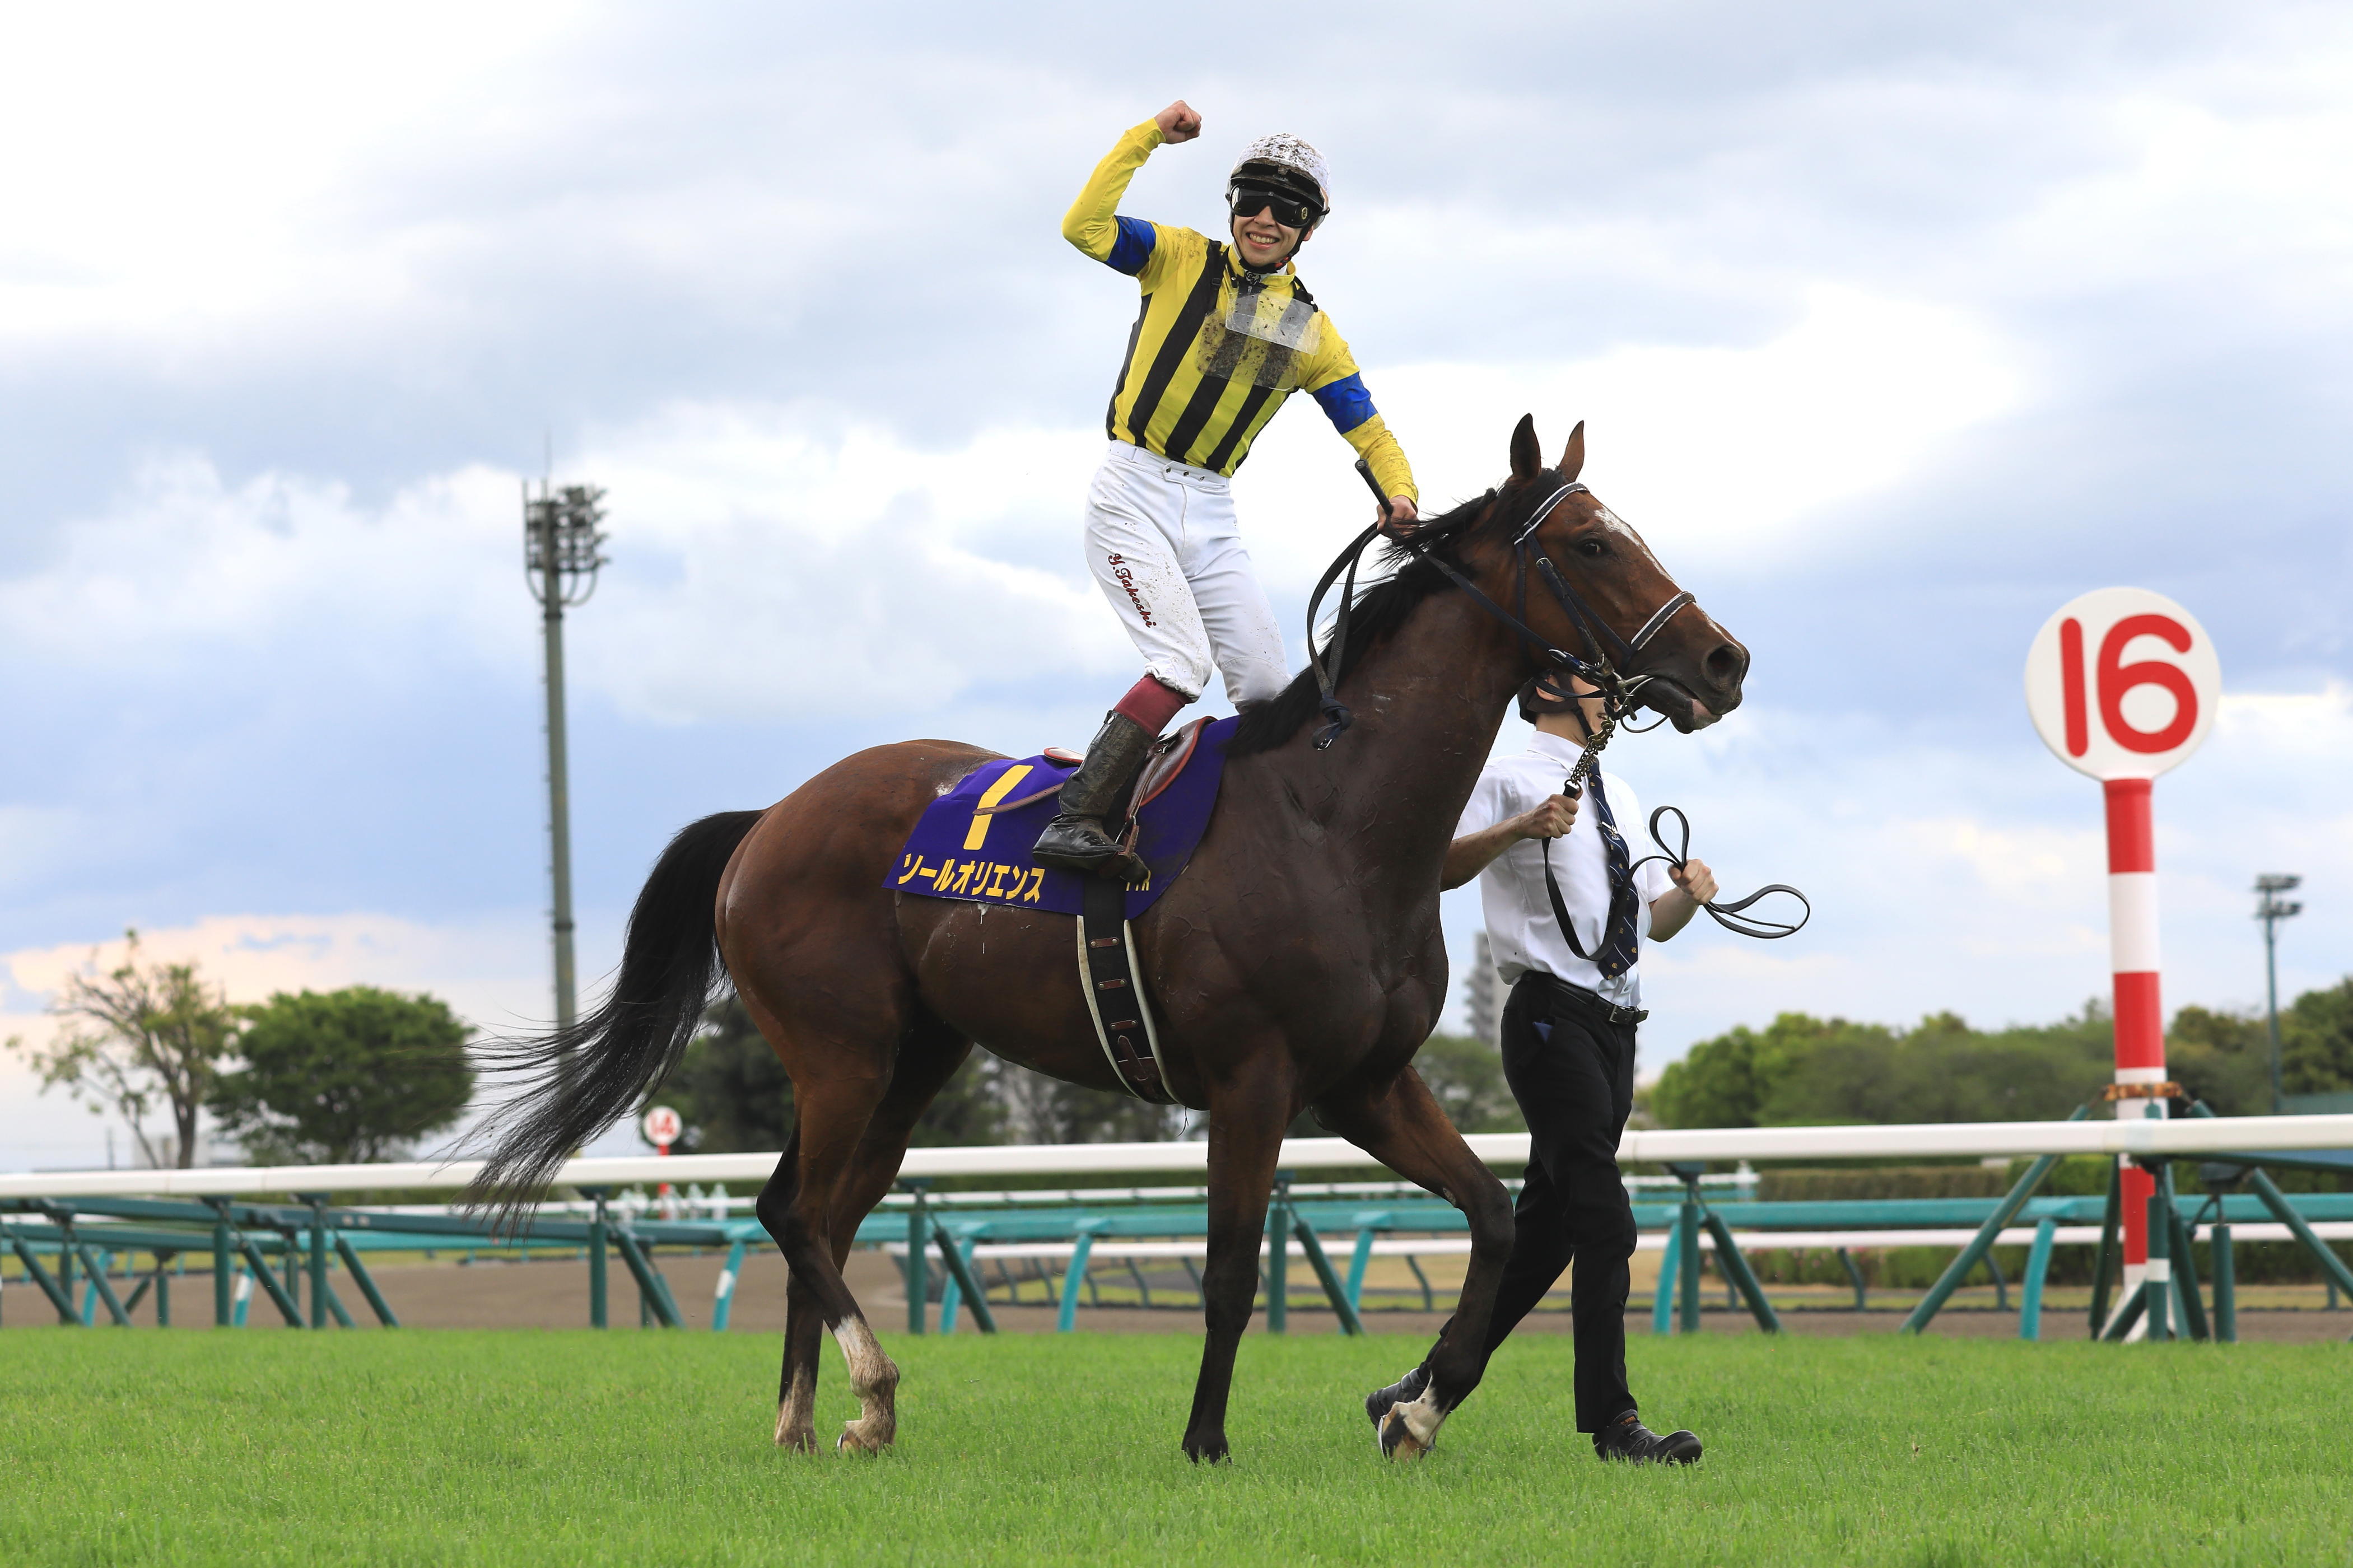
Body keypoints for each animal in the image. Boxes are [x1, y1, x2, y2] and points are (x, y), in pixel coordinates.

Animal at [472, 414, 1748, 1463]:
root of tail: (770, 817)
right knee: (792, 1212)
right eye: (1590, 543)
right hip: (843, 1050)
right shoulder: (1252, 1078)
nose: (1724, 659)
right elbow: (1230, 1267)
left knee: (819, 1212)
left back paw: (808, 1421)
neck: (1336, 823)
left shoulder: (1367, 1083)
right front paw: (1206, 1440)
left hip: (911, 1061)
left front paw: (1417, 1408)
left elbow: (1489, 1215)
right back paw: (873, 1391)